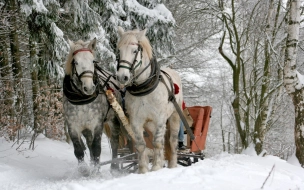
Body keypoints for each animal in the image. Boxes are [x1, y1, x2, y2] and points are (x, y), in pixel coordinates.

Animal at [63, 38, 121, 175]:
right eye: (76, 62)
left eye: (93, 61)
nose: (89, 88)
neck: (82, 99)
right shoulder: (73, 126)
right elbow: (79, 150)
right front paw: (85, 170)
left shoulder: (97, 124)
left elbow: (96, 148)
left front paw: (96, 171)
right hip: (86, 128)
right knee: (89, 143)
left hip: (113, 119)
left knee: (114, 142)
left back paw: (114, 167)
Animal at [116, 26, 183, 174]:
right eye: (119, 51)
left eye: (135, 51)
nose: (122, 77)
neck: (144, 88)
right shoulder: (136, 121)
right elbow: (141, 145)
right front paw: (143, 170)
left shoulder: (160, 119)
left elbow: (157, 143)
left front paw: (156, 167)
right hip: (150, 124)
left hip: (174, 116)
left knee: (172, 141)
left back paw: (172, 165)